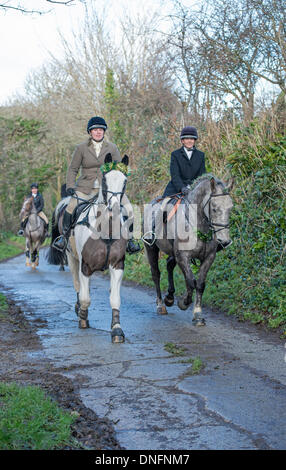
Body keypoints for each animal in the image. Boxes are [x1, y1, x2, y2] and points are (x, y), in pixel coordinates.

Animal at [47, 154, 130, 342]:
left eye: (124, 181)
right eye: (105, 180)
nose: (114, 209)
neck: (105, 229)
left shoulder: (117, 265)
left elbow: (115, 298)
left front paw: (117, 329)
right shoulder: (84, 265)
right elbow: (85, 297)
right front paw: (83, 318)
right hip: (72, 258)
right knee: (78, 285)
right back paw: (79, 309)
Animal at [142, 174, 233, 324]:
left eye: (230, 208)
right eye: (214, 208)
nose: (224, 241)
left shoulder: (208, 258)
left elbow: (199, 284)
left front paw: (198, 314)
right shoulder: (183, 256)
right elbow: (190, 281)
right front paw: (184, 303)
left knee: (169, 265)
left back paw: (169, 297)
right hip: (151, 248)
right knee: (156, 274)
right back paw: (161, 305)